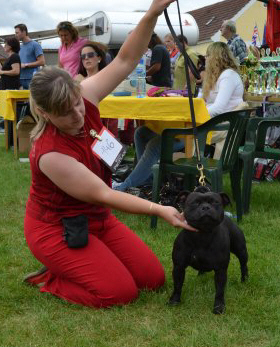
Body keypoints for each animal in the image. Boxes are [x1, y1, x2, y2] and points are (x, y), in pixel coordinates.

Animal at [170, 188, 248, 316]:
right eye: (195, 203)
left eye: (215, 202)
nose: (206, 207)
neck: (202, 234)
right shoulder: (178, 266)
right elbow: (177, 285)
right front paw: (174, 300)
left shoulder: (221, 270)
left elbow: (220, 291)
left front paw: (219, 307)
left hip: (240, 249)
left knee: (243, 264)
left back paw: (245, 279)